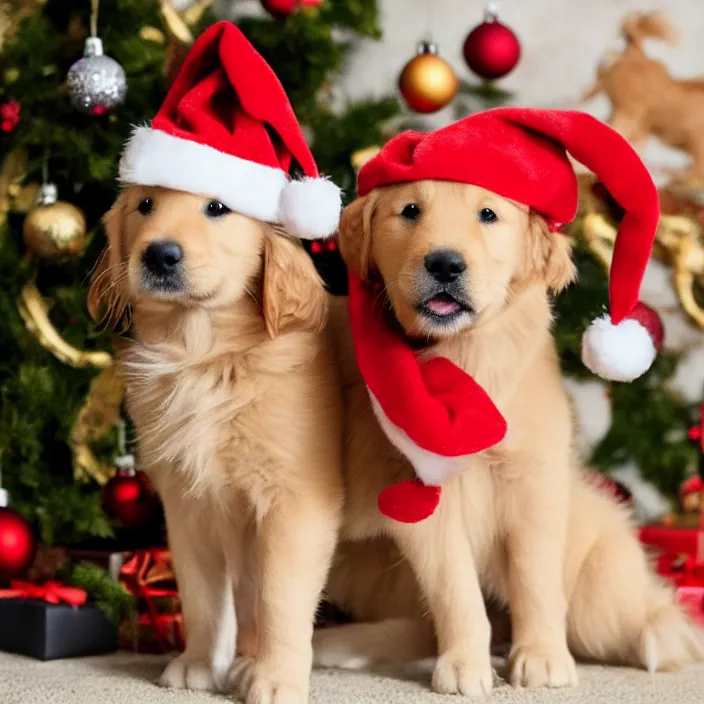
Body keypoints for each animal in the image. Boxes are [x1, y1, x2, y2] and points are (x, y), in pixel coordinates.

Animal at [88, 187, 344, 704]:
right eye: (145, 204)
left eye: (217, 208)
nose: (159, 254)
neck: (205, 356)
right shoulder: (190, 506)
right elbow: (201, 594)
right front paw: (201, 664)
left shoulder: (298, 502)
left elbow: (279, 595)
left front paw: (277, 678)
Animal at [314, 179, 704, 696]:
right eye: (410, 210)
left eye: (488, 215)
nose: (445, 263)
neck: (464, 358)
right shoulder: (421, 502)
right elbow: (455, 589)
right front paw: (464, 664)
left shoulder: (533, 482)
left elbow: (534, 577)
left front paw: (540, 657)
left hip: (597, 584)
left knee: (635, 611)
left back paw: (663, 635)